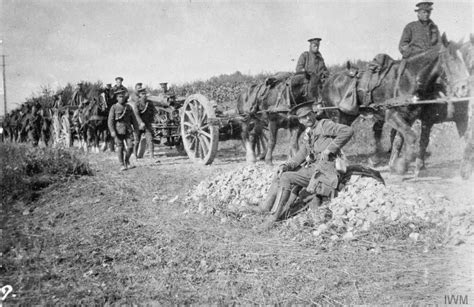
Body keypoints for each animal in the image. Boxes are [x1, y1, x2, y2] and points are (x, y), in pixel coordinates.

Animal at [320, 33, 468, 176]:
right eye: (452, 59)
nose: (464, 88)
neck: (409, 79)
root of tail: (329, 80)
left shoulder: (411, 117)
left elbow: (400, 140)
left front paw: (396, 165)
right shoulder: (394, 115)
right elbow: (411, 137)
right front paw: (403, 166)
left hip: (348, 115)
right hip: (336, 115)